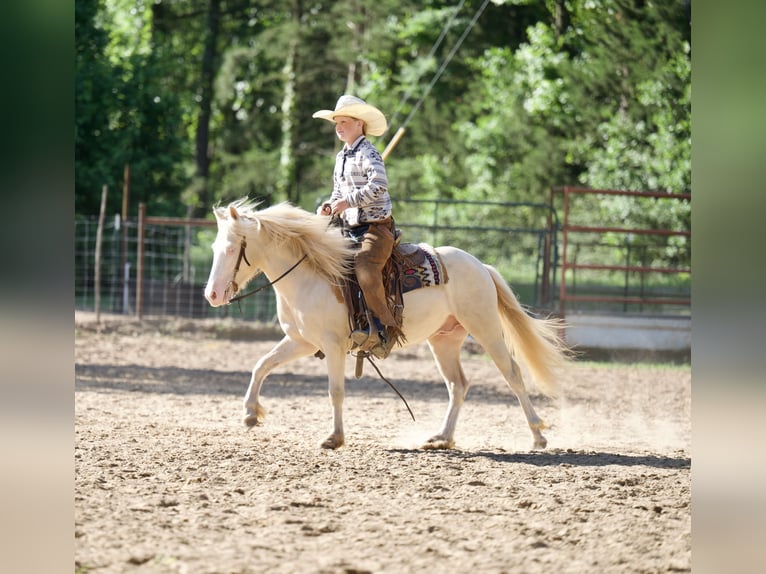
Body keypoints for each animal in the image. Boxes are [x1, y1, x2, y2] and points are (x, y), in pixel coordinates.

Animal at [204, 199, 570, 450]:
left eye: (232, 248)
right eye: (214, 247)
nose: (212, 294)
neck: (311, 275)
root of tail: (481, 265)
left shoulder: (333, 345)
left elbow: (335, 390)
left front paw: (334, 438)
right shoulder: (301, 341)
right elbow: (261, 365)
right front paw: (250, 413)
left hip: (486, 328)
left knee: (512, 373)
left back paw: (538, 435)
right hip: (444, 340)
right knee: (458, 385)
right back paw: (442, 437)